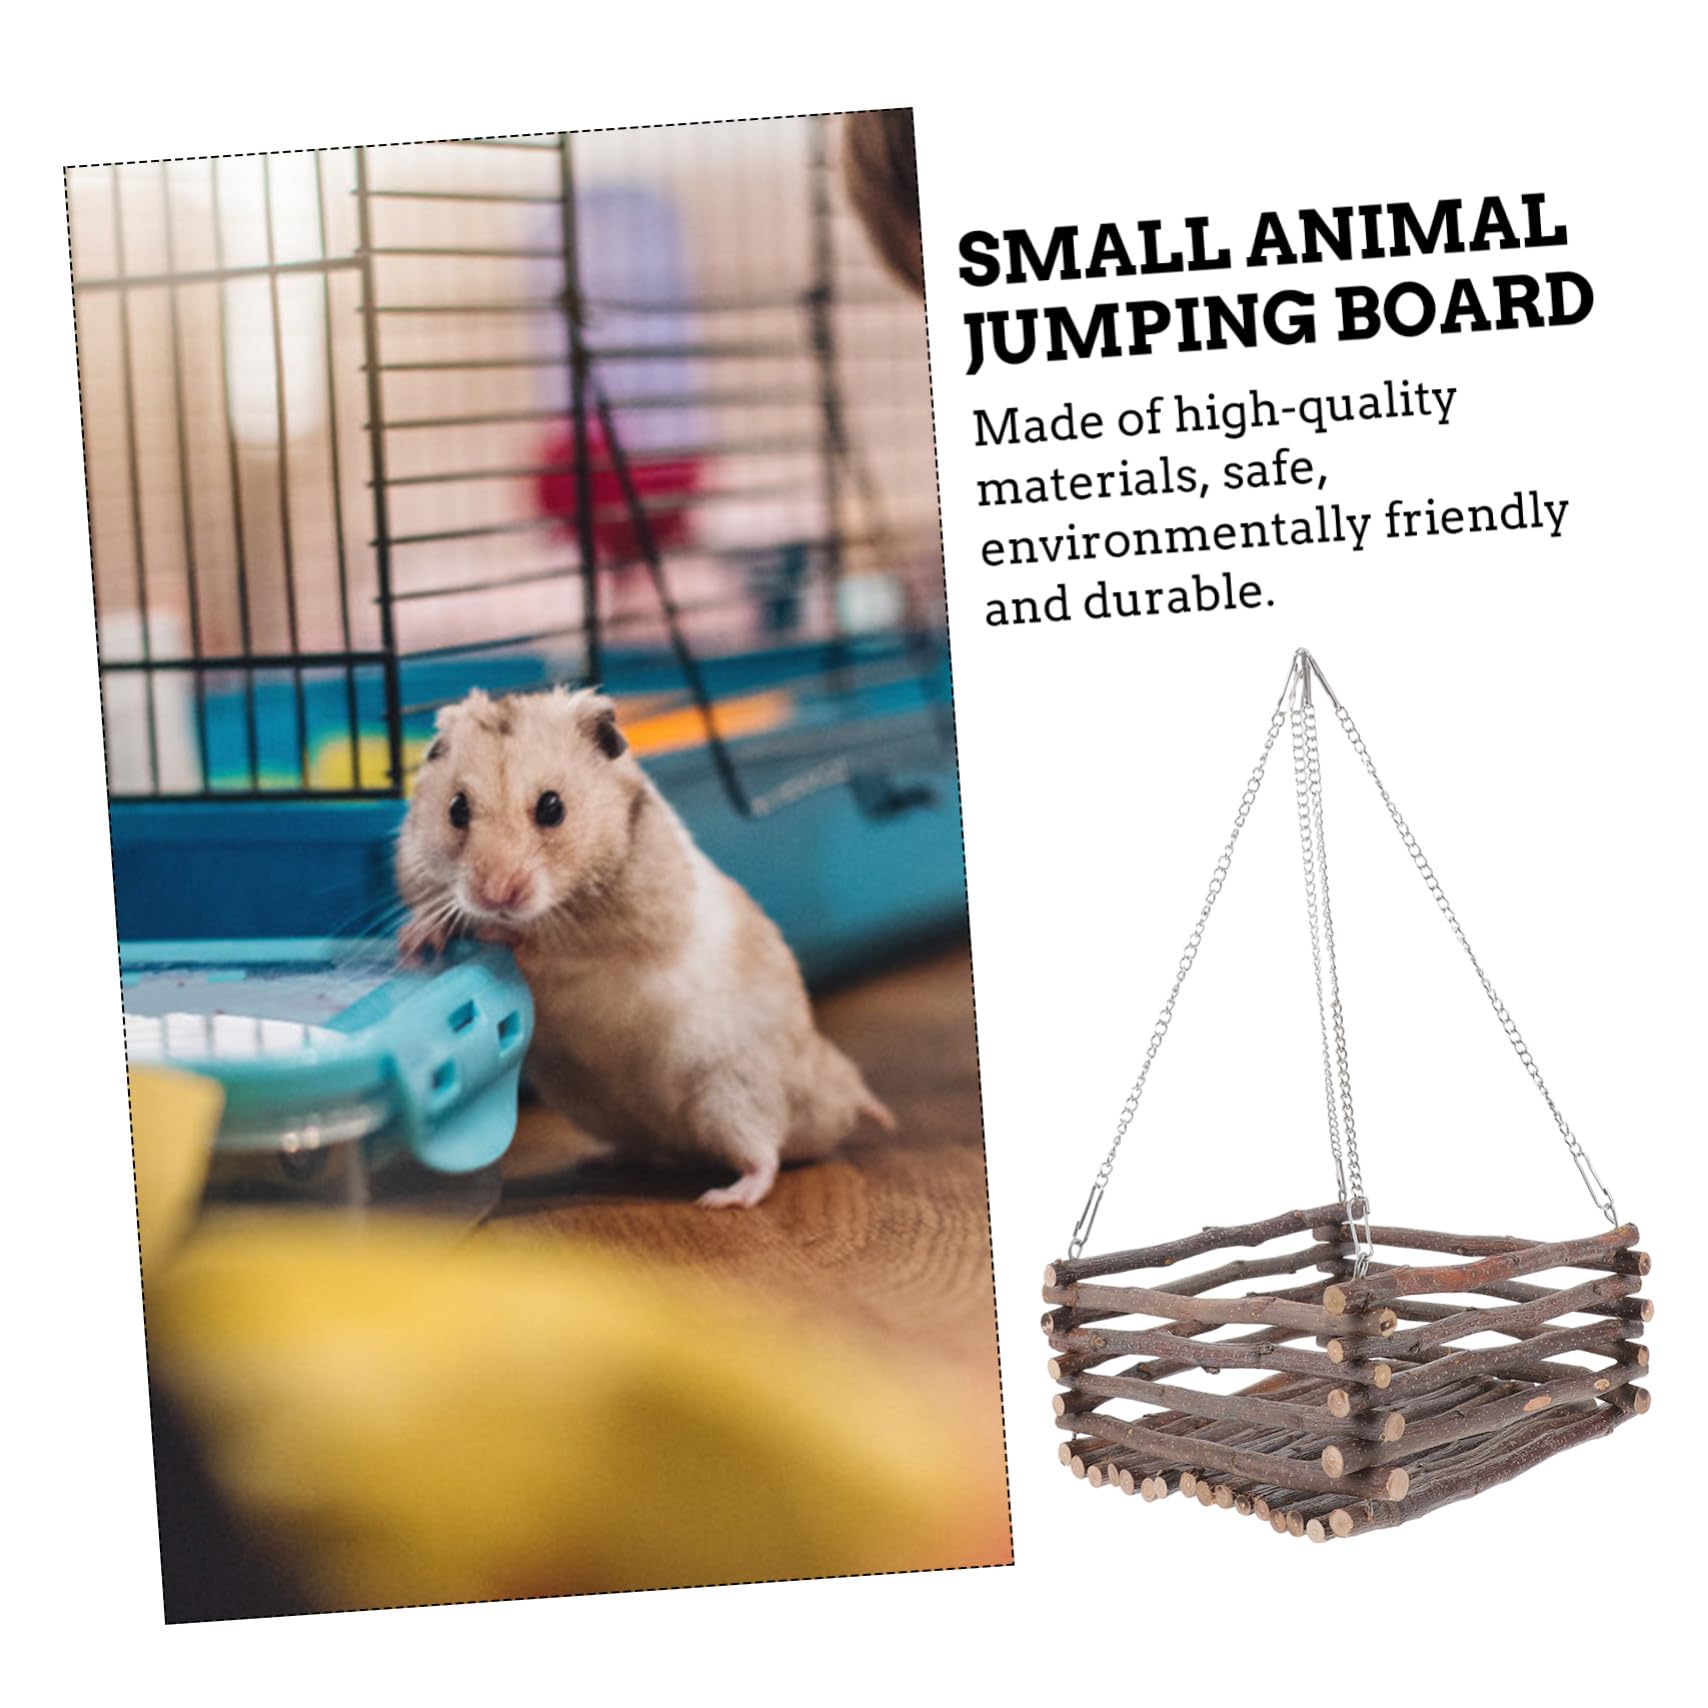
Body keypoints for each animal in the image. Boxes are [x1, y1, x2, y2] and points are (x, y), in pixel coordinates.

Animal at [395, 686, 895, 1206]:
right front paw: (417, 939)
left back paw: (724, 1197)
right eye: (457, 809)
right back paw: (600, 1160)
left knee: (765, 1154)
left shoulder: (618, 933)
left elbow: (551, 948)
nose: (495, 895)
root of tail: (834, 1096)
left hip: (731, 1093)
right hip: (613, 1111)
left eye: (552, 807)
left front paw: (495, 933)